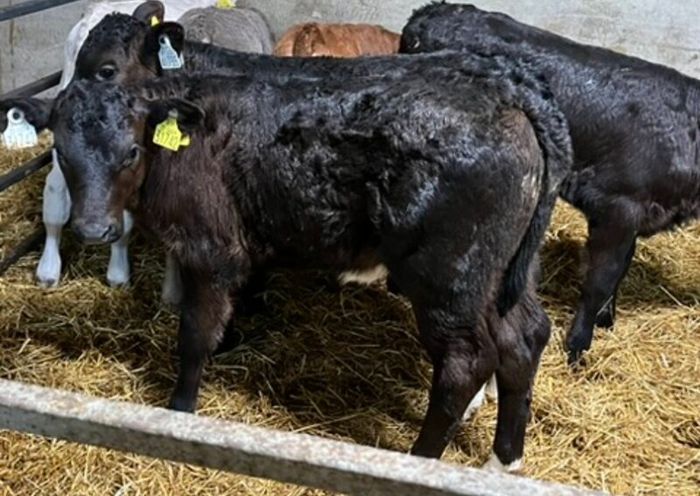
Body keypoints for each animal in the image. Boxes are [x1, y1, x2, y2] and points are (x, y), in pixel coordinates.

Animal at [1, 50, 572, 470]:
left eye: (131, 153)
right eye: (63, 153)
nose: (94, 229)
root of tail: (509, 99)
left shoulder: (211, 249)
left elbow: (194, 334)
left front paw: (181, 412)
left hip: (448, 275)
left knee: (466, 361)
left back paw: (420, 460)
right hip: (501, 272)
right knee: (524, 337)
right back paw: (504, 461)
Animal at [400, 2, 700, 363]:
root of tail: (429, 12)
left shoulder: (636, 217)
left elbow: (621, 269)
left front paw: (607, 320)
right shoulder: (617, 208)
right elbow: (601, 279)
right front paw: (578, 348)